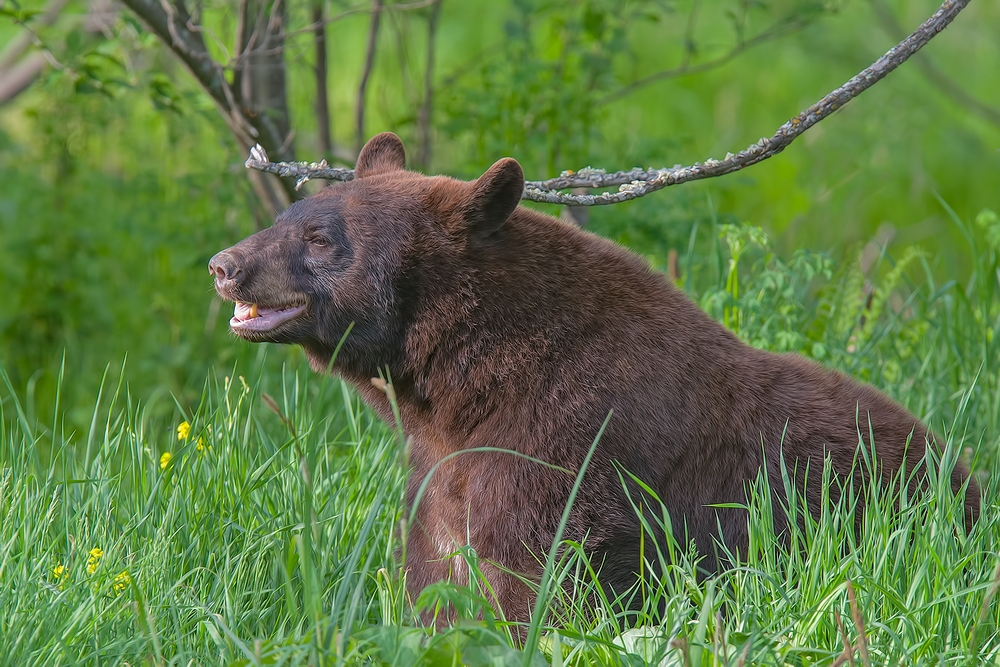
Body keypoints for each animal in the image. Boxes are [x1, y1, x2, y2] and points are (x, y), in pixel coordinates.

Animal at [207, 132, 980, 628]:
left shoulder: (566, 435)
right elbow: (437, 569)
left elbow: (546, 567)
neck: (463, 387)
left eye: (319, 239)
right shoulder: (438, 467)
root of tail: (967, 475)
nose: (224, 263)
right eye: (288, 214)